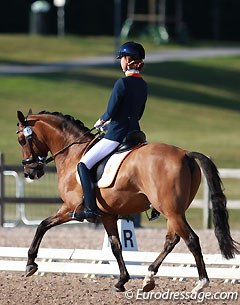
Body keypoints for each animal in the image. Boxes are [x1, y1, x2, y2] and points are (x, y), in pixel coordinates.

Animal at [15, 109, 239, 292]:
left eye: (21, 140)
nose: (30, 172)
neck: (73, 153)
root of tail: (185, 154)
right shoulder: (107, 215)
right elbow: (116, 246)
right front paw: (122, 280)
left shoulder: (70, 209)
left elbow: (42, 226)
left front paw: (30, 264)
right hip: (174, 211)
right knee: (172, 240)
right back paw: (148, 277)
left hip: (172, 211)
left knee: (191, 239)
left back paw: (201, 283)